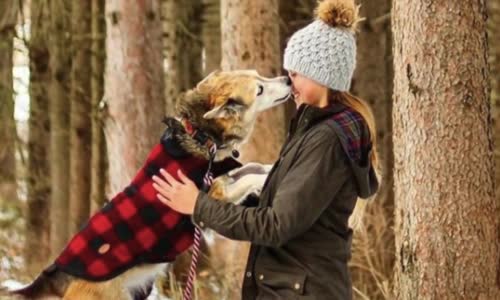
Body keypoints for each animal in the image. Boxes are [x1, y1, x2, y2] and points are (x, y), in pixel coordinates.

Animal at [6, 69, 290, 298]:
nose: (287, 78)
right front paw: (265, 177)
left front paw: (270, 168)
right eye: (260, 88)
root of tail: (53, 276)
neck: (201, 135)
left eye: (260, 75)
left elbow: (253, 167)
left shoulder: (225, 176)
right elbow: (250, 176)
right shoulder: (214, 195)